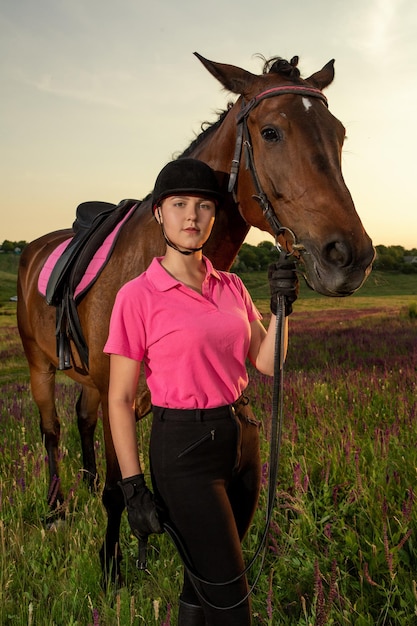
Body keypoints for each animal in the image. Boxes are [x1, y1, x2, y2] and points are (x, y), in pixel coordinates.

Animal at [16, 53, 374, 580]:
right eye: (271, 132)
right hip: (39, 367)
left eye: (340, 133)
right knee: (52, 432)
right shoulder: (117, 394)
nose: (351, 257)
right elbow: (119, 493)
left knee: (80, 420)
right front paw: (111, 568)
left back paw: (80, 489)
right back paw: (57, 509)